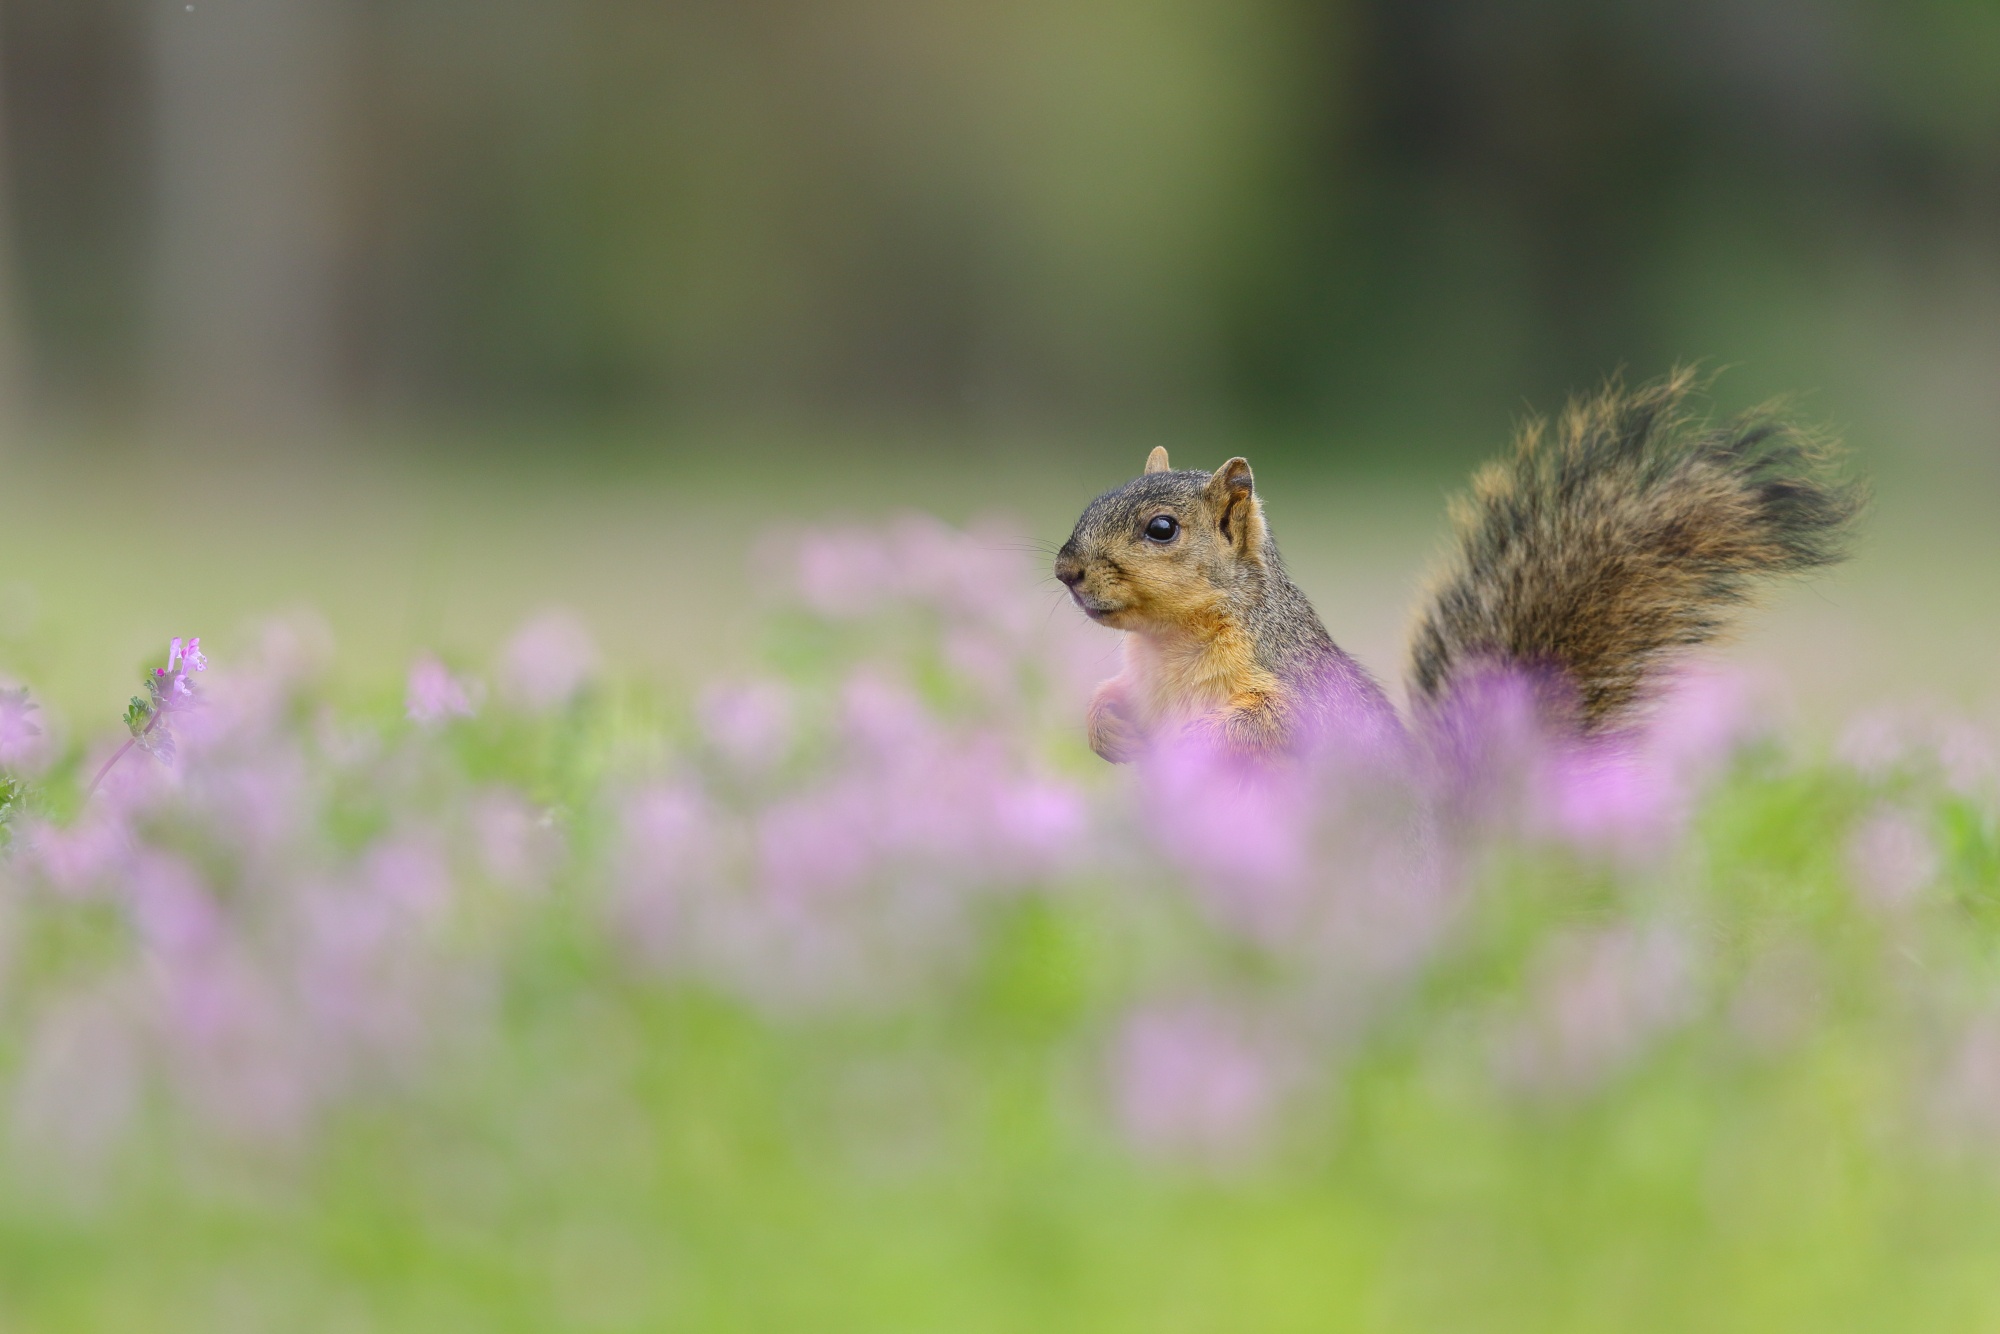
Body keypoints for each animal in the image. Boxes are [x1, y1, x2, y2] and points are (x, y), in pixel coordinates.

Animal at [1056, 368, 1864, 760]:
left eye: (1162, 529)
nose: (1065, 570)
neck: (1168, 646)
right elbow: (1113, 701)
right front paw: (1104, 728)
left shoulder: (1290, 688)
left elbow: (1264, 731)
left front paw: (1187, 749)